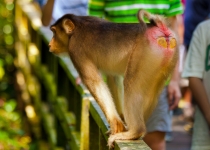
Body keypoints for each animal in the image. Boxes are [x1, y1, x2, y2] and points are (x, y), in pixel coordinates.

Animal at [49, 9, 179, 148]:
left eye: (54, 32)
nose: (50, 44)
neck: (77, 26)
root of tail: (161, 28)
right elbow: (113, 77)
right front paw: (120, 120)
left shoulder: (76, 49)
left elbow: (94, 82)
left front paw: (115, 124)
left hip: (145, 53)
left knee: (130, 84)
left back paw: (135, 132)